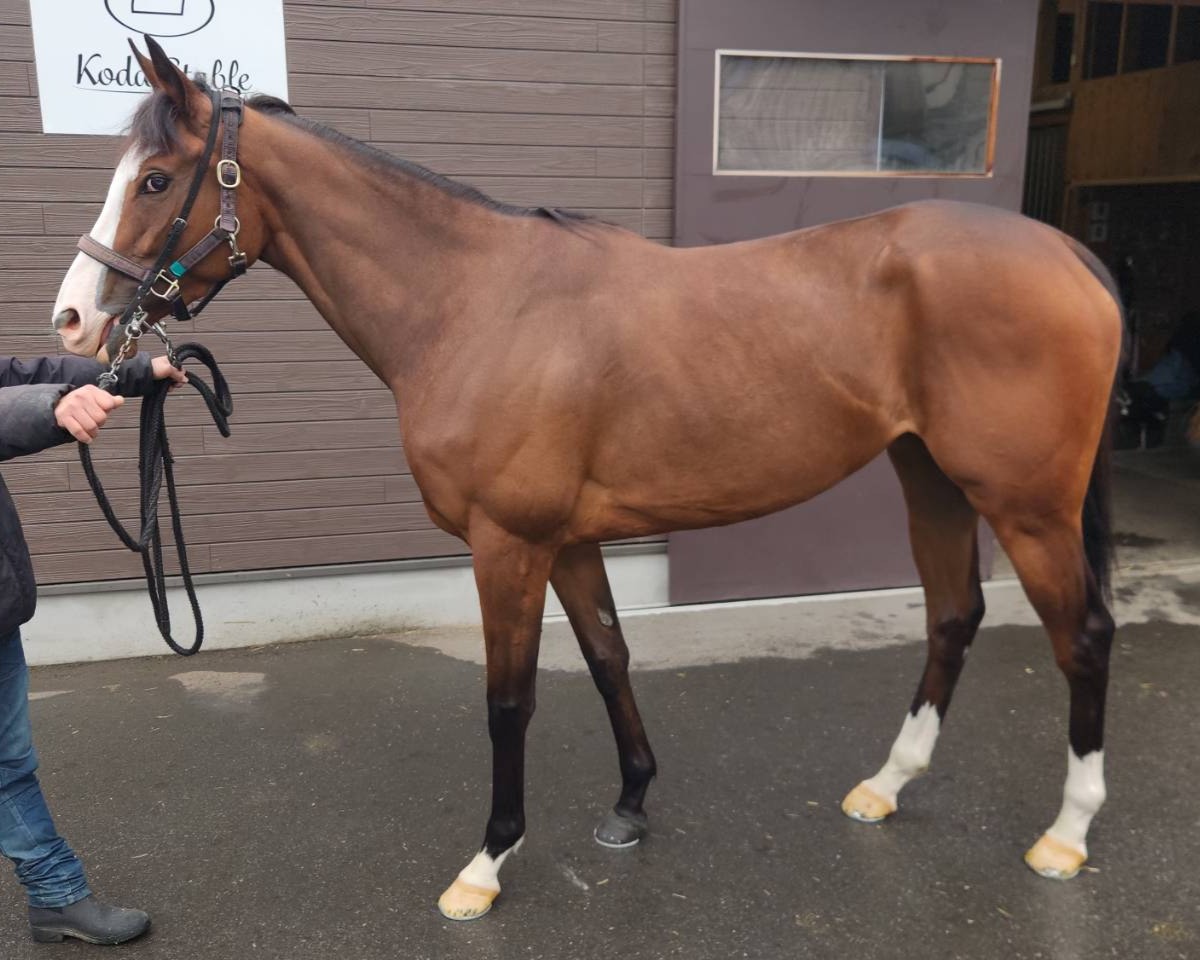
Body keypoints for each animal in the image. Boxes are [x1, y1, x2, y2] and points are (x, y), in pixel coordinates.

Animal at [51, 37, 1122, 921]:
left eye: (155, 179)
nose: (72, 319)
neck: (474, 303)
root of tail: (1069, 253)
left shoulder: (509, 543)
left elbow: (508, 700)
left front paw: (486, 864)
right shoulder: (568, 541)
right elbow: (610, 656)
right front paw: (631, 803)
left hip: (1027, 505)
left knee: (1083, 636)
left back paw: (1067, 834)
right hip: (930, 476)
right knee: (953, 615)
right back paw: (886, 786)